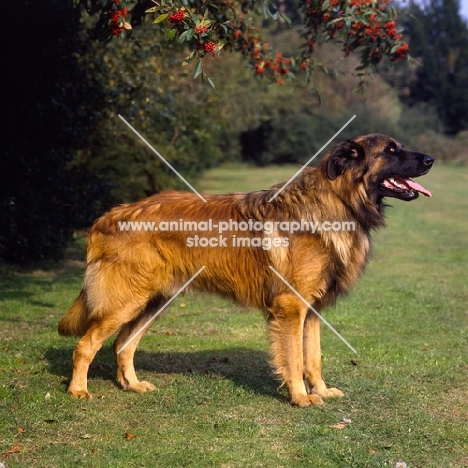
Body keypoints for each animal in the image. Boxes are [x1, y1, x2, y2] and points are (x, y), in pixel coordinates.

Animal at [59, 134, 436, 406]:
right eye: (392, 150)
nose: (431, 159)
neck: (338, 202)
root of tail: (109, 216)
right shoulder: (291, 307)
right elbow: (294, 358)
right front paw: (300, 398)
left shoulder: (312, 311)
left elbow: (313, 357)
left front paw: (320, 391)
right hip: (127, 301)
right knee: (86, 345)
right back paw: (77, 390)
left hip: (153, 302)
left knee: (123, 344)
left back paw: (133, 385)